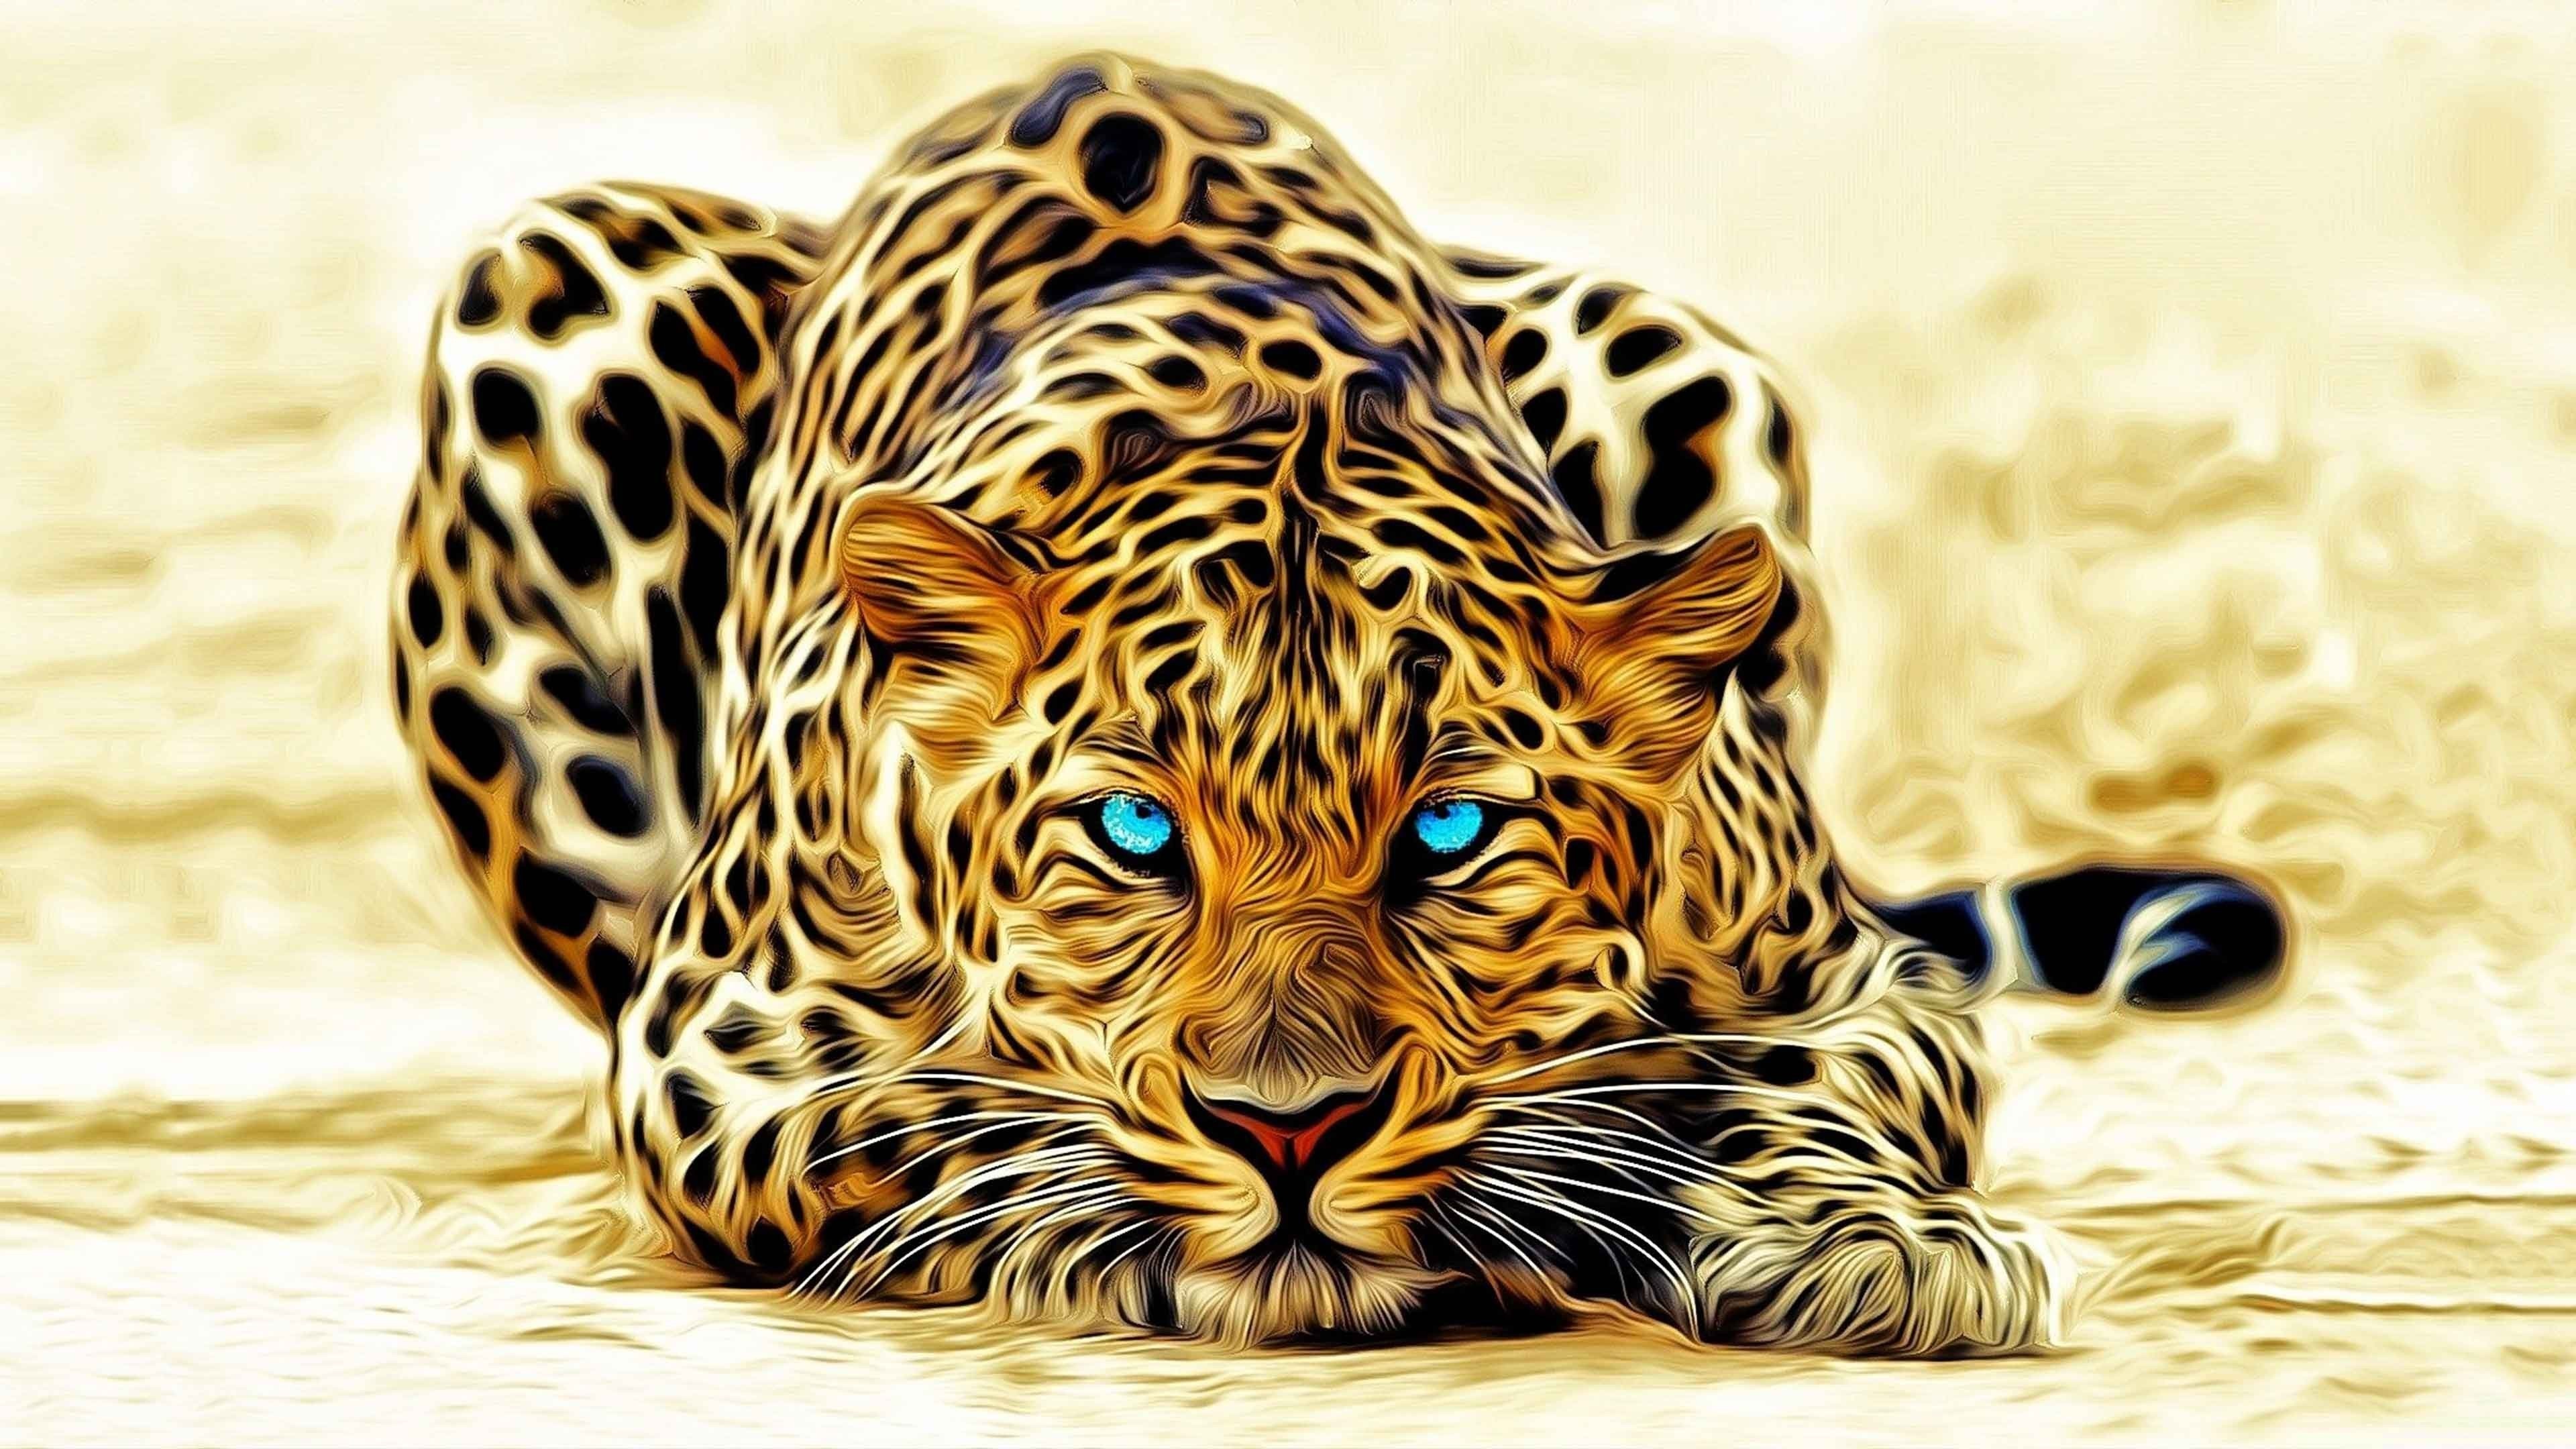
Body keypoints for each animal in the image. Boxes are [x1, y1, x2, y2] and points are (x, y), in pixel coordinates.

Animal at [390, 52, 2286, 1352]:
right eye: (1133, 829)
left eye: (1447, 831)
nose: (1287, 1128)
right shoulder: (714, 1039)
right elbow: (927, 1120)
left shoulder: (1850, 975)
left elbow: (1801, 1081)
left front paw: (1868, 1242)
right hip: (543, 282)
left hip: (1676, 347)